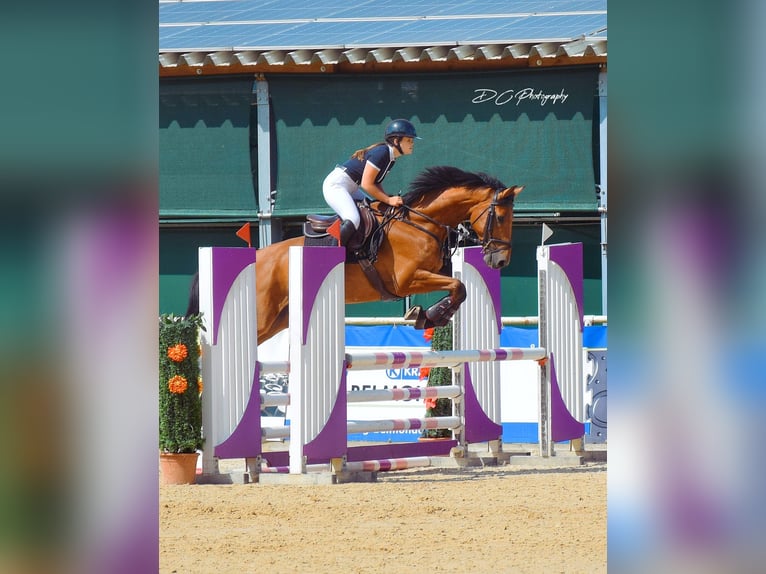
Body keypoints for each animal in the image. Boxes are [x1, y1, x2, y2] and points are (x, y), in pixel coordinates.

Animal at [188, 165, 523, 344]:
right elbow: (458, 286)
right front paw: (429, 315)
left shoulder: (431, 274)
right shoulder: (406, 281)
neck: (420, 224)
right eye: (501, 217)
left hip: (276, 321)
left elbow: (458, 287)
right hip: (261, 317)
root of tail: (258, 258)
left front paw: (429, 315)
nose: (500, 261)